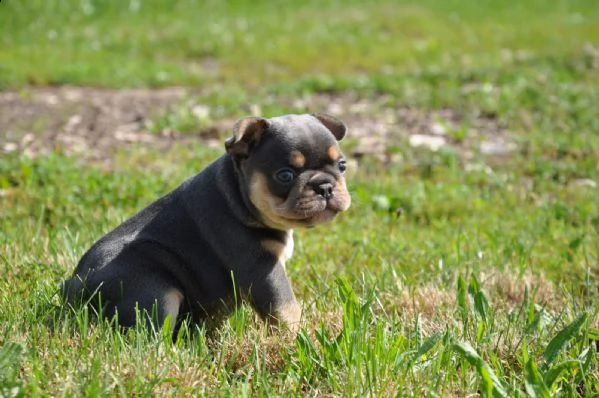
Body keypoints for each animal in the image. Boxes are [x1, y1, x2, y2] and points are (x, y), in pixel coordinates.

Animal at [61, 113, 352, 334]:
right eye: (285, 175)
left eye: (342, 165)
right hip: (154, 289)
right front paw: (299, 338)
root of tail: (73, 288)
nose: (325, 186)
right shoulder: (262, 269)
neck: (237, 195)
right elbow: (287, 308)